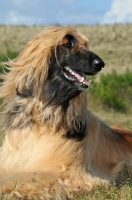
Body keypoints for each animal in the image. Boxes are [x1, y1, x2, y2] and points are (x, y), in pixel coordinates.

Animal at [0, 26, 131, 198]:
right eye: (68, 44)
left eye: (86, 45)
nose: (100, 64)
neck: (45, 119)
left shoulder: (67, 173)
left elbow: (22, 178)